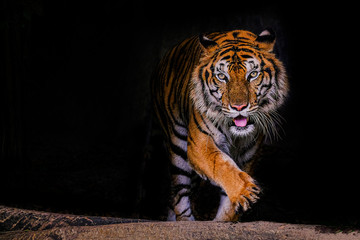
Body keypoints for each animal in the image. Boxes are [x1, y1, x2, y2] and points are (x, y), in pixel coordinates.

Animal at [150, 28, 288, 221]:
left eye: (253, 74)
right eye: (222, 77)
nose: (239, 107)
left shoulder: (249, 154)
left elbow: (229, 203)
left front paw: (226, 217)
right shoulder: (199, 144)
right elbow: (222, 165)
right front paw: (246, 191)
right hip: (178, 147)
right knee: (179, 194)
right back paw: (185, 221)